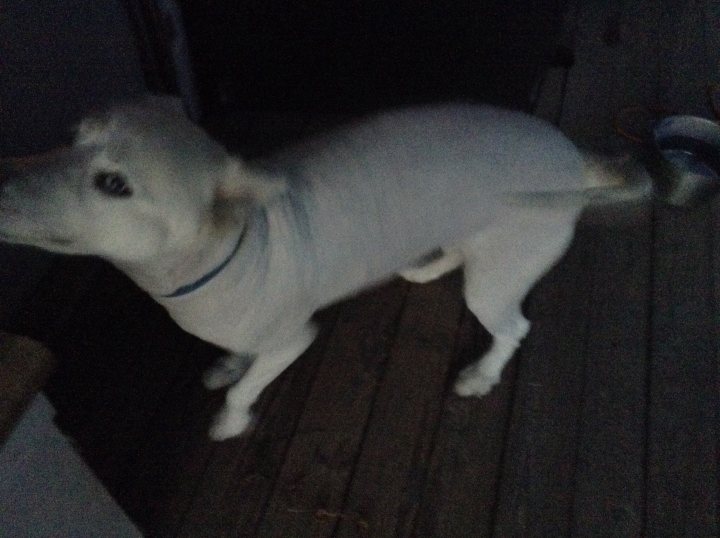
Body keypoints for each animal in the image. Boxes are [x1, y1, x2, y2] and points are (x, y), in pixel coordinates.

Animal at [0, 98, 644, 438]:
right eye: (68, 136)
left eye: (114, 184)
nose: (1, 178)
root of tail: (574, 157)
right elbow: (238, 357)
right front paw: (228, 365)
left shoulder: (292, 341)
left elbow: (251, 385)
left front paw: (231, 418)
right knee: (460, 254)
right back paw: (425, 269)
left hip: (498, 278)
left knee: (512, 329)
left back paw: (481, 375)